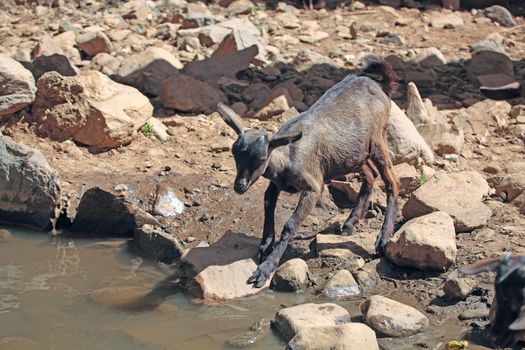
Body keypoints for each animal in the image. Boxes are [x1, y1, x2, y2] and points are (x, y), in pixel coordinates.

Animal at [215, 56, 400, 288]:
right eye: (235, 153)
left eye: (260, 158)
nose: (239, 185)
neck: (288, 156)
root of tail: (378, 82)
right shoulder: (275, 184)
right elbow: (268, 203)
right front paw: (265, 247)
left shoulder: (313, 186)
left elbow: (290, 225)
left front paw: (265, 270)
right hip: (353, 155)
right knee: (369, 174)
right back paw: (350, 223)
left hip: (377, 139)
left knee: (391, 182)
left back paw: (383, 238)